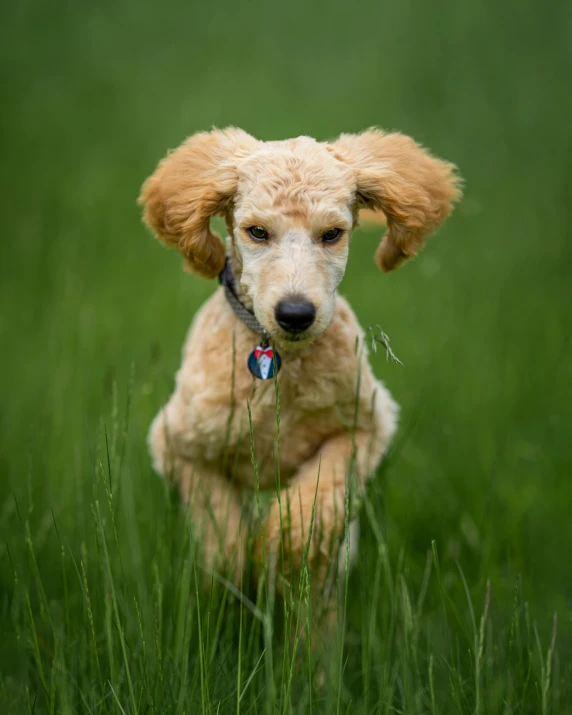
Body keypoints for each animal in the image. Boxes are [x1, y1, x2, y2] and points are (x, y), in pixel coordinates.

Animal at [141, 127, 462, 592]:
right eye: (257, 232)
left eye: (332, 234)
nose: (295, 314)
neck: (283, 366)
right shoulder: (177, 445)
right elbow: (221, 534)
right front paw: (235, 577)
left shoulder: (364, 428)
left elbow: (314, 499)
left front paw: (281, 552)